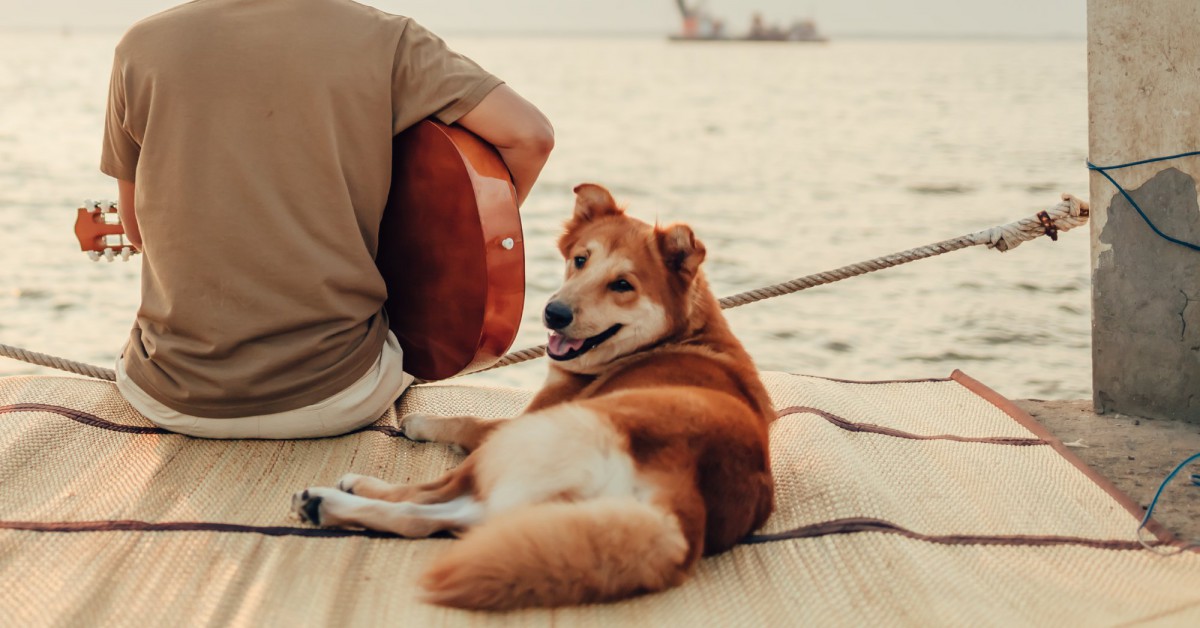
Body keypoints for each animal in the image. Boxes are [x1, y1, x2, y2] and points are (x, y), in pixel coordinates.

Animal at [295, 184, 772, 612]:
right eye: (580, 260)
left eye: (622, 284)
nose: (554, 313)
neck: (678, 336)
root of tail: (683, 499)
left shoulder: (527, 415)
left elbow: (470, 421)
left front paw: (422, 423)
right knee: (433, 518)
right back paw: (325, 507)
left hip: (526, 440)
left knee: (427, 497)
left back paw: (345, 492)